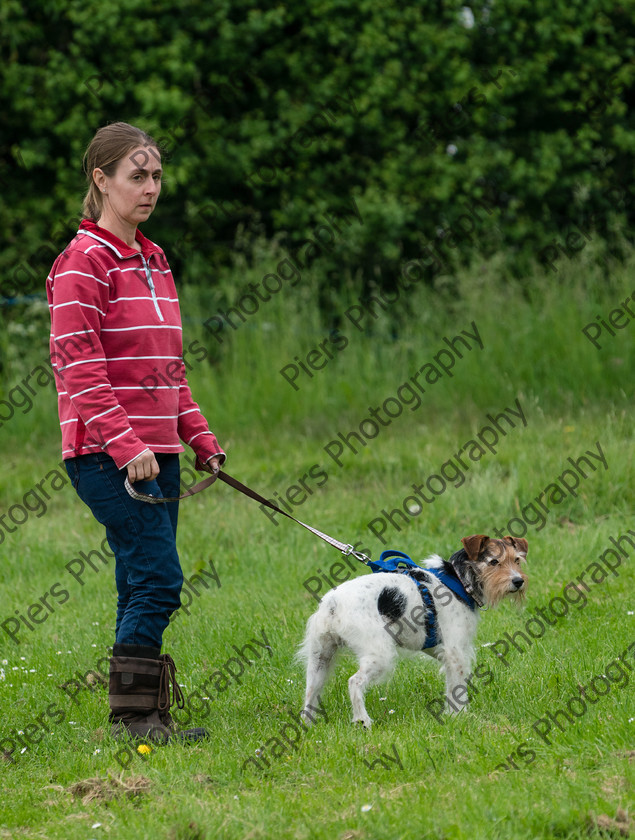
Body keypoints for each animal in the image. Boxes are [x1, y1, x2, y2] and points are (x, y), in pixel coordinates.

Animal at [300, 536, 528, 724]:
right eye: (494, 562)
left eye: (517, 560)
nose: (518, 581)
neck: (459, 581)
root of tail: (332, 604)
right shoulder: (456, 652)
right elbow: (457, 688)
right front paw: (459, 716)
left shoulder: (441, 651)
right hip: (380, 656)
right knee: (354, 682)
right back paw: (363, 720)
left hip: (320, 659)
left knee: (310, 692)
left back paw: (308, 725)